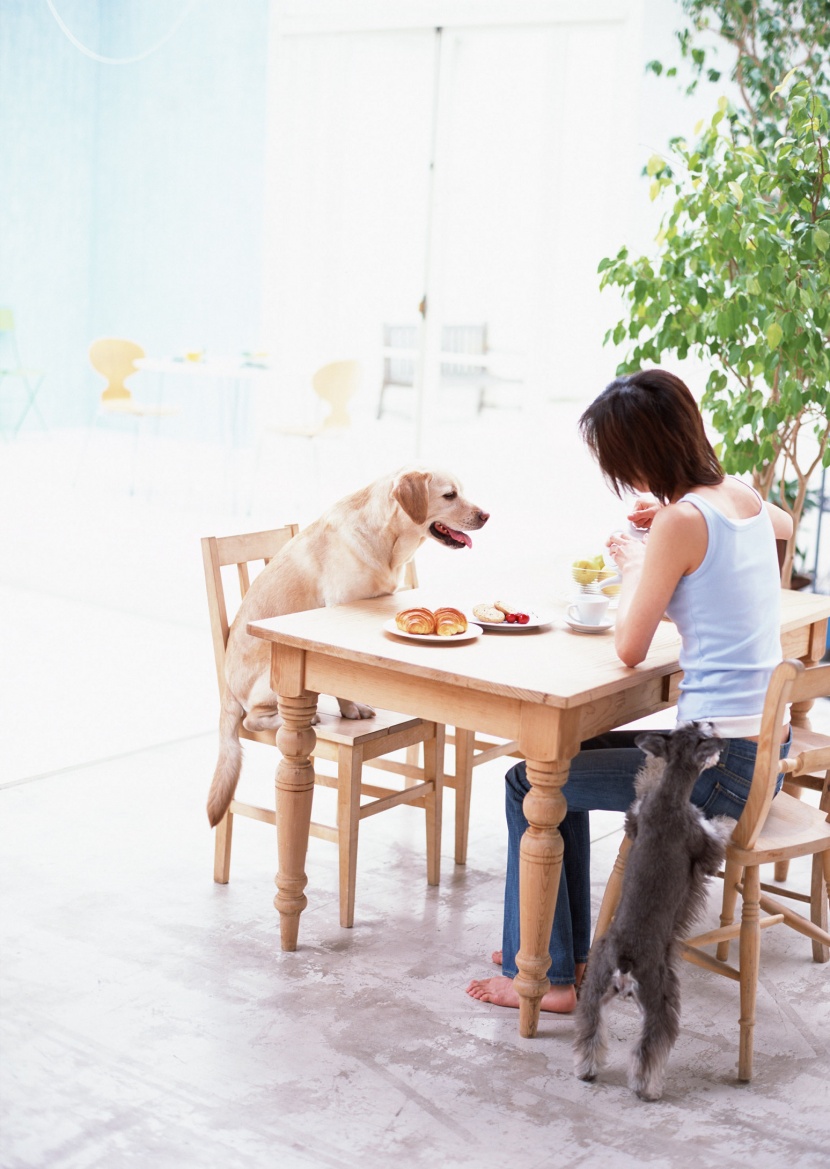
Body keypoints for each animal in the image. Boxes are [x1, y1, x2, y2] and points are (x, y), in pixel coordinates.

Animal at [208, 460, 490, 827]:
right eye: (450, 495)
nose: (486, 515)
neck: (387, 539)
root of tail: (227, 688)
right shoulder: (336, 611)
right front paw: (351, 707)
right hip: (273, 680)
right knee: (252, 720)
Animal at [572, 724, 734, 1098]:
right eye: (705, 732)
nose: (717, 728)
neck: (670, 795)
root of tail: (626, 960)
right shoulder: (705, 848)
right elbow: (717, 835)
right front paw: (728, 819)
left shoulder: (634, 819)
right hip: (662, 996)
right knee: (651, 1046)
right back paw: (648, 1089)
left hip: (593, 990)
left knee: (590, 1032)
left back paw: (586, 1070)